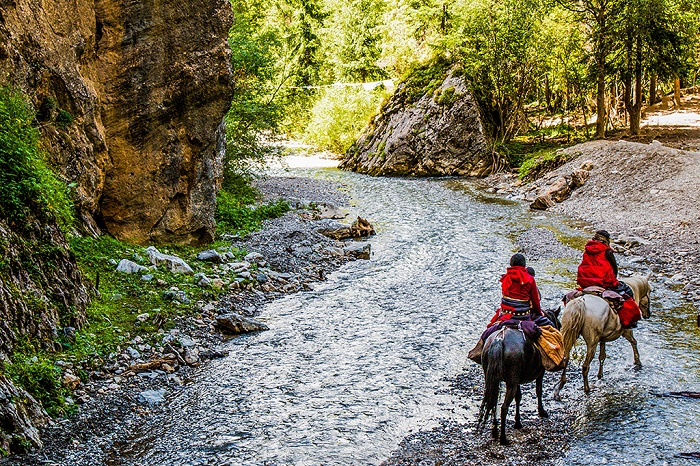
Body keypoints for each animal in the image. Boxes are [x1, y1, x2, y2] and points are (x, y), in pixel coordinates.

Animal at [478, 308, 560, 446]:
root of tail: (499, 339)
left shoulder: (517, 380)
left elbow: (518, 397)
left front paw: (517, 422)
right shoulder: (540, 373)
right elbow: (538, 391)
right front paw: (542, 411)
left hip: (494, 378)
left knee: (493, 402)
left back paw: (495, 432)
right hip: (511, 382)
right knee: (504, 408)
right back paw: (503, 438)